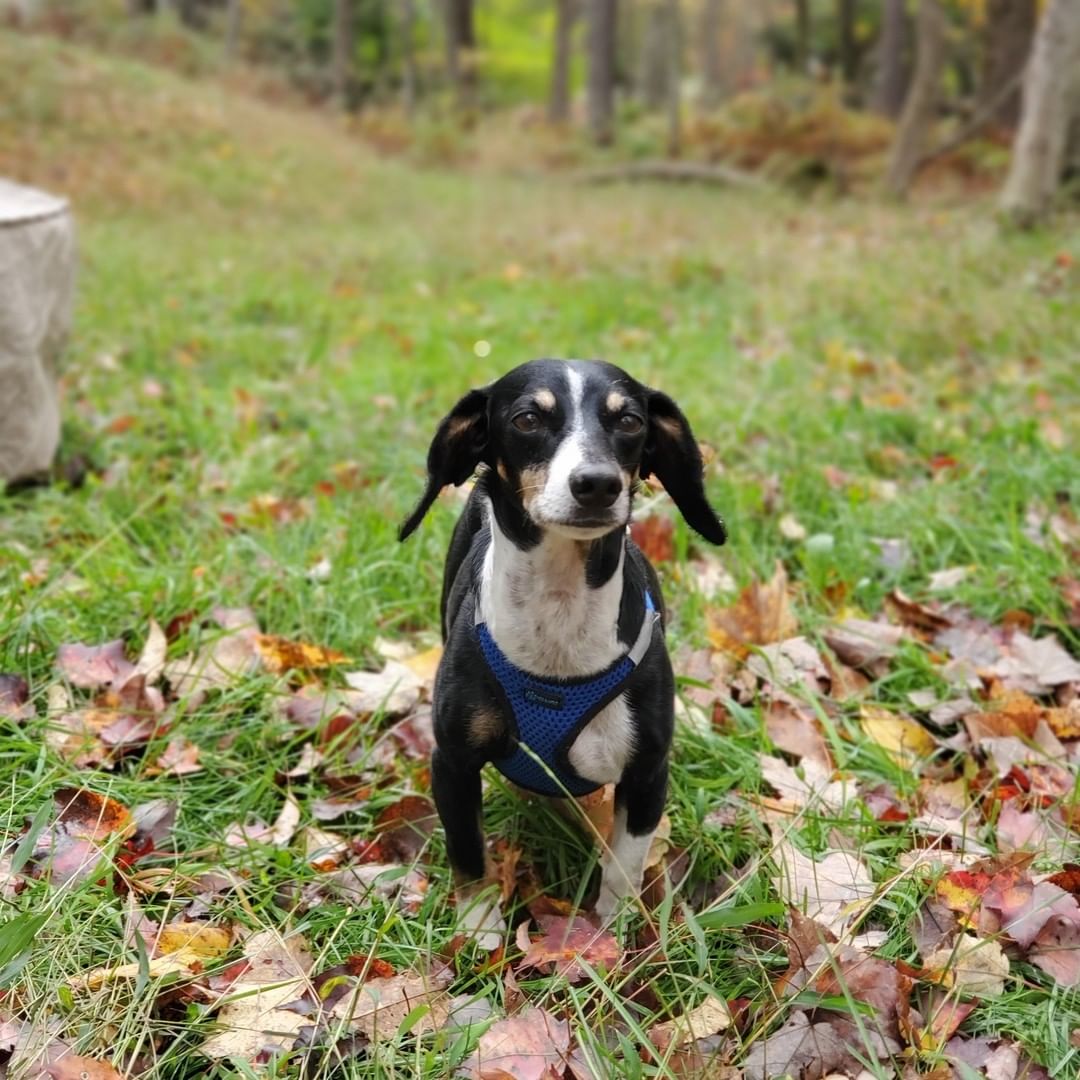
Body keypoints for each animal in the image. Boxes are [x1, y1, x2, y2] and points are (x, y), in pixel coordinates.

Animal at [397, 356, 725, 946]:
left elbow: (624, 864)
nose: (596, 484)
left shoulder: (647, 772)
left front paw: (610, 935)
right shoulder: (452, 763)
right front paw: (480, 931)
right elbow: (468, 853)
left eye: (630, 420)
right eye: (528, 418)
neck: (560, 615)